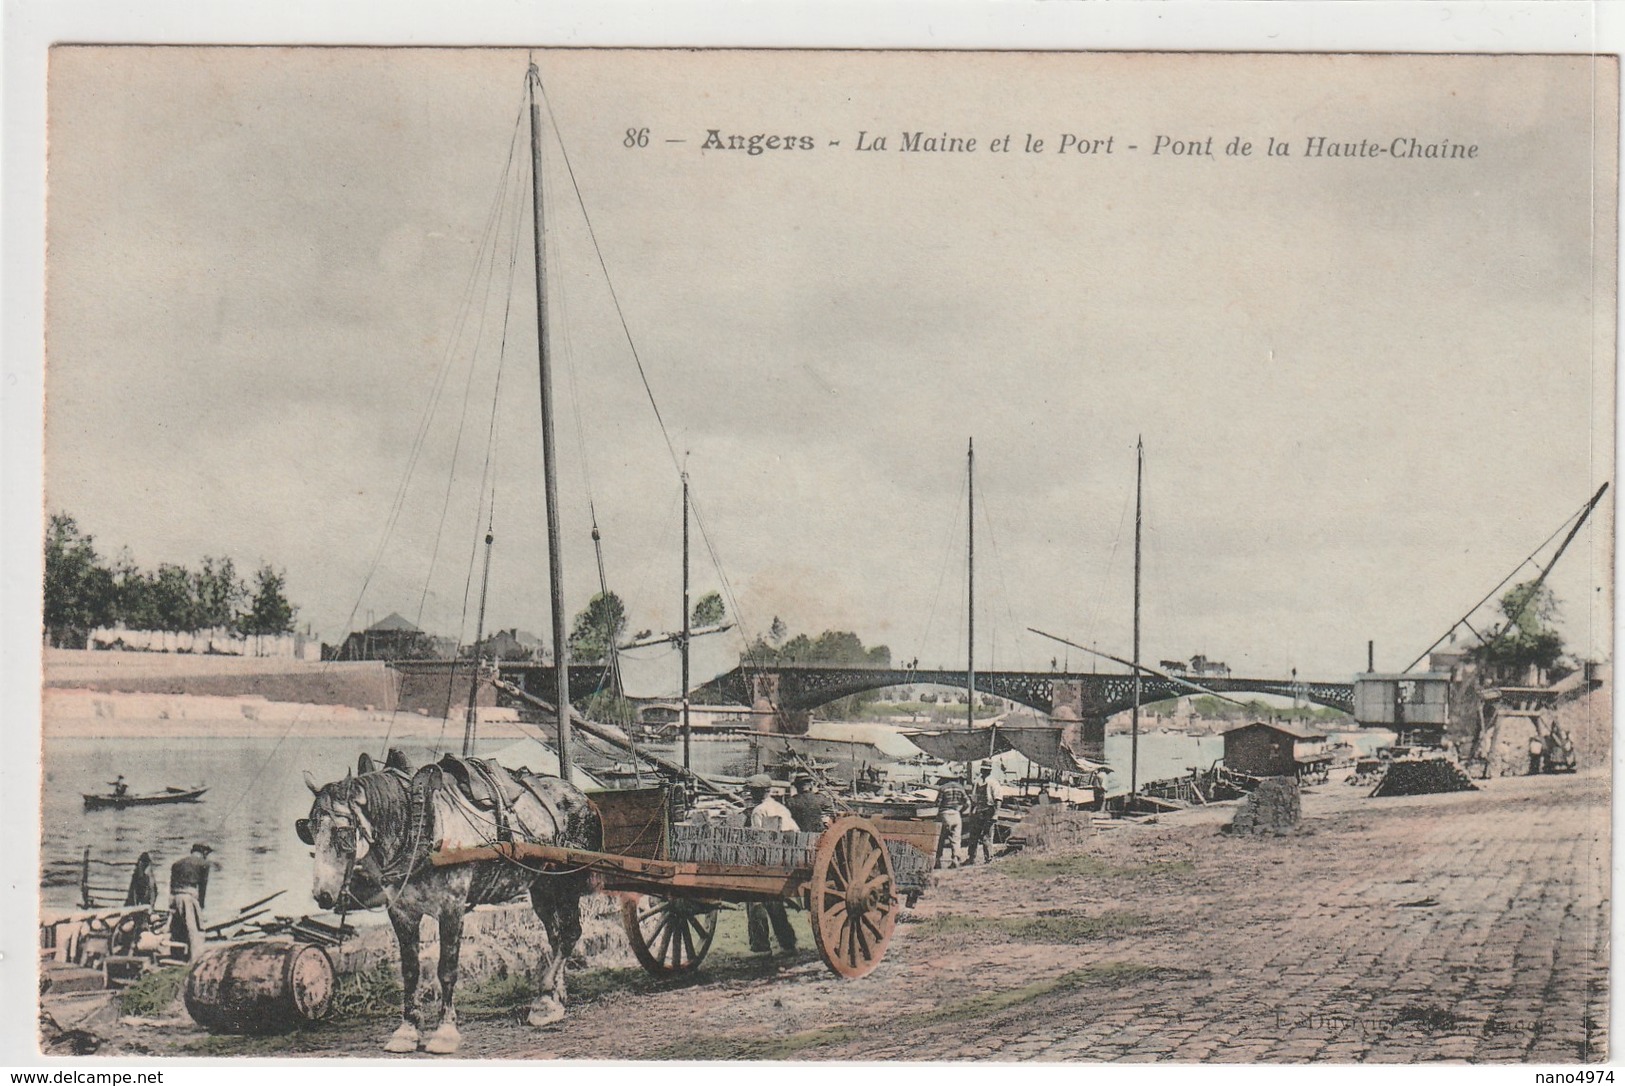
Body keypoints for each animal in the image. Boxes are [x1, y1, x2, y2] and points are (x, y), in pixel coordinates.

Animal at [299, 751, 604, 1053]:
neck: (419, 826)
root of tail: (582, 796)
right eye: (309, 830)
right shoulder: (401, 912)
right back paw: (553, 998)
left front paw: (445, 1032)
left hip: (568, 880)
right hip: (542, 884)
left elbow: (446, 969)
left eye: (342, 832)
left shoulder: (452, 908)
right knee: (555, 936)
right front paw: (408, 1030)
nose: (322, 895)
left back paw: (546, 995)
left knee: (570, 933)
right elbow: (410, 971)